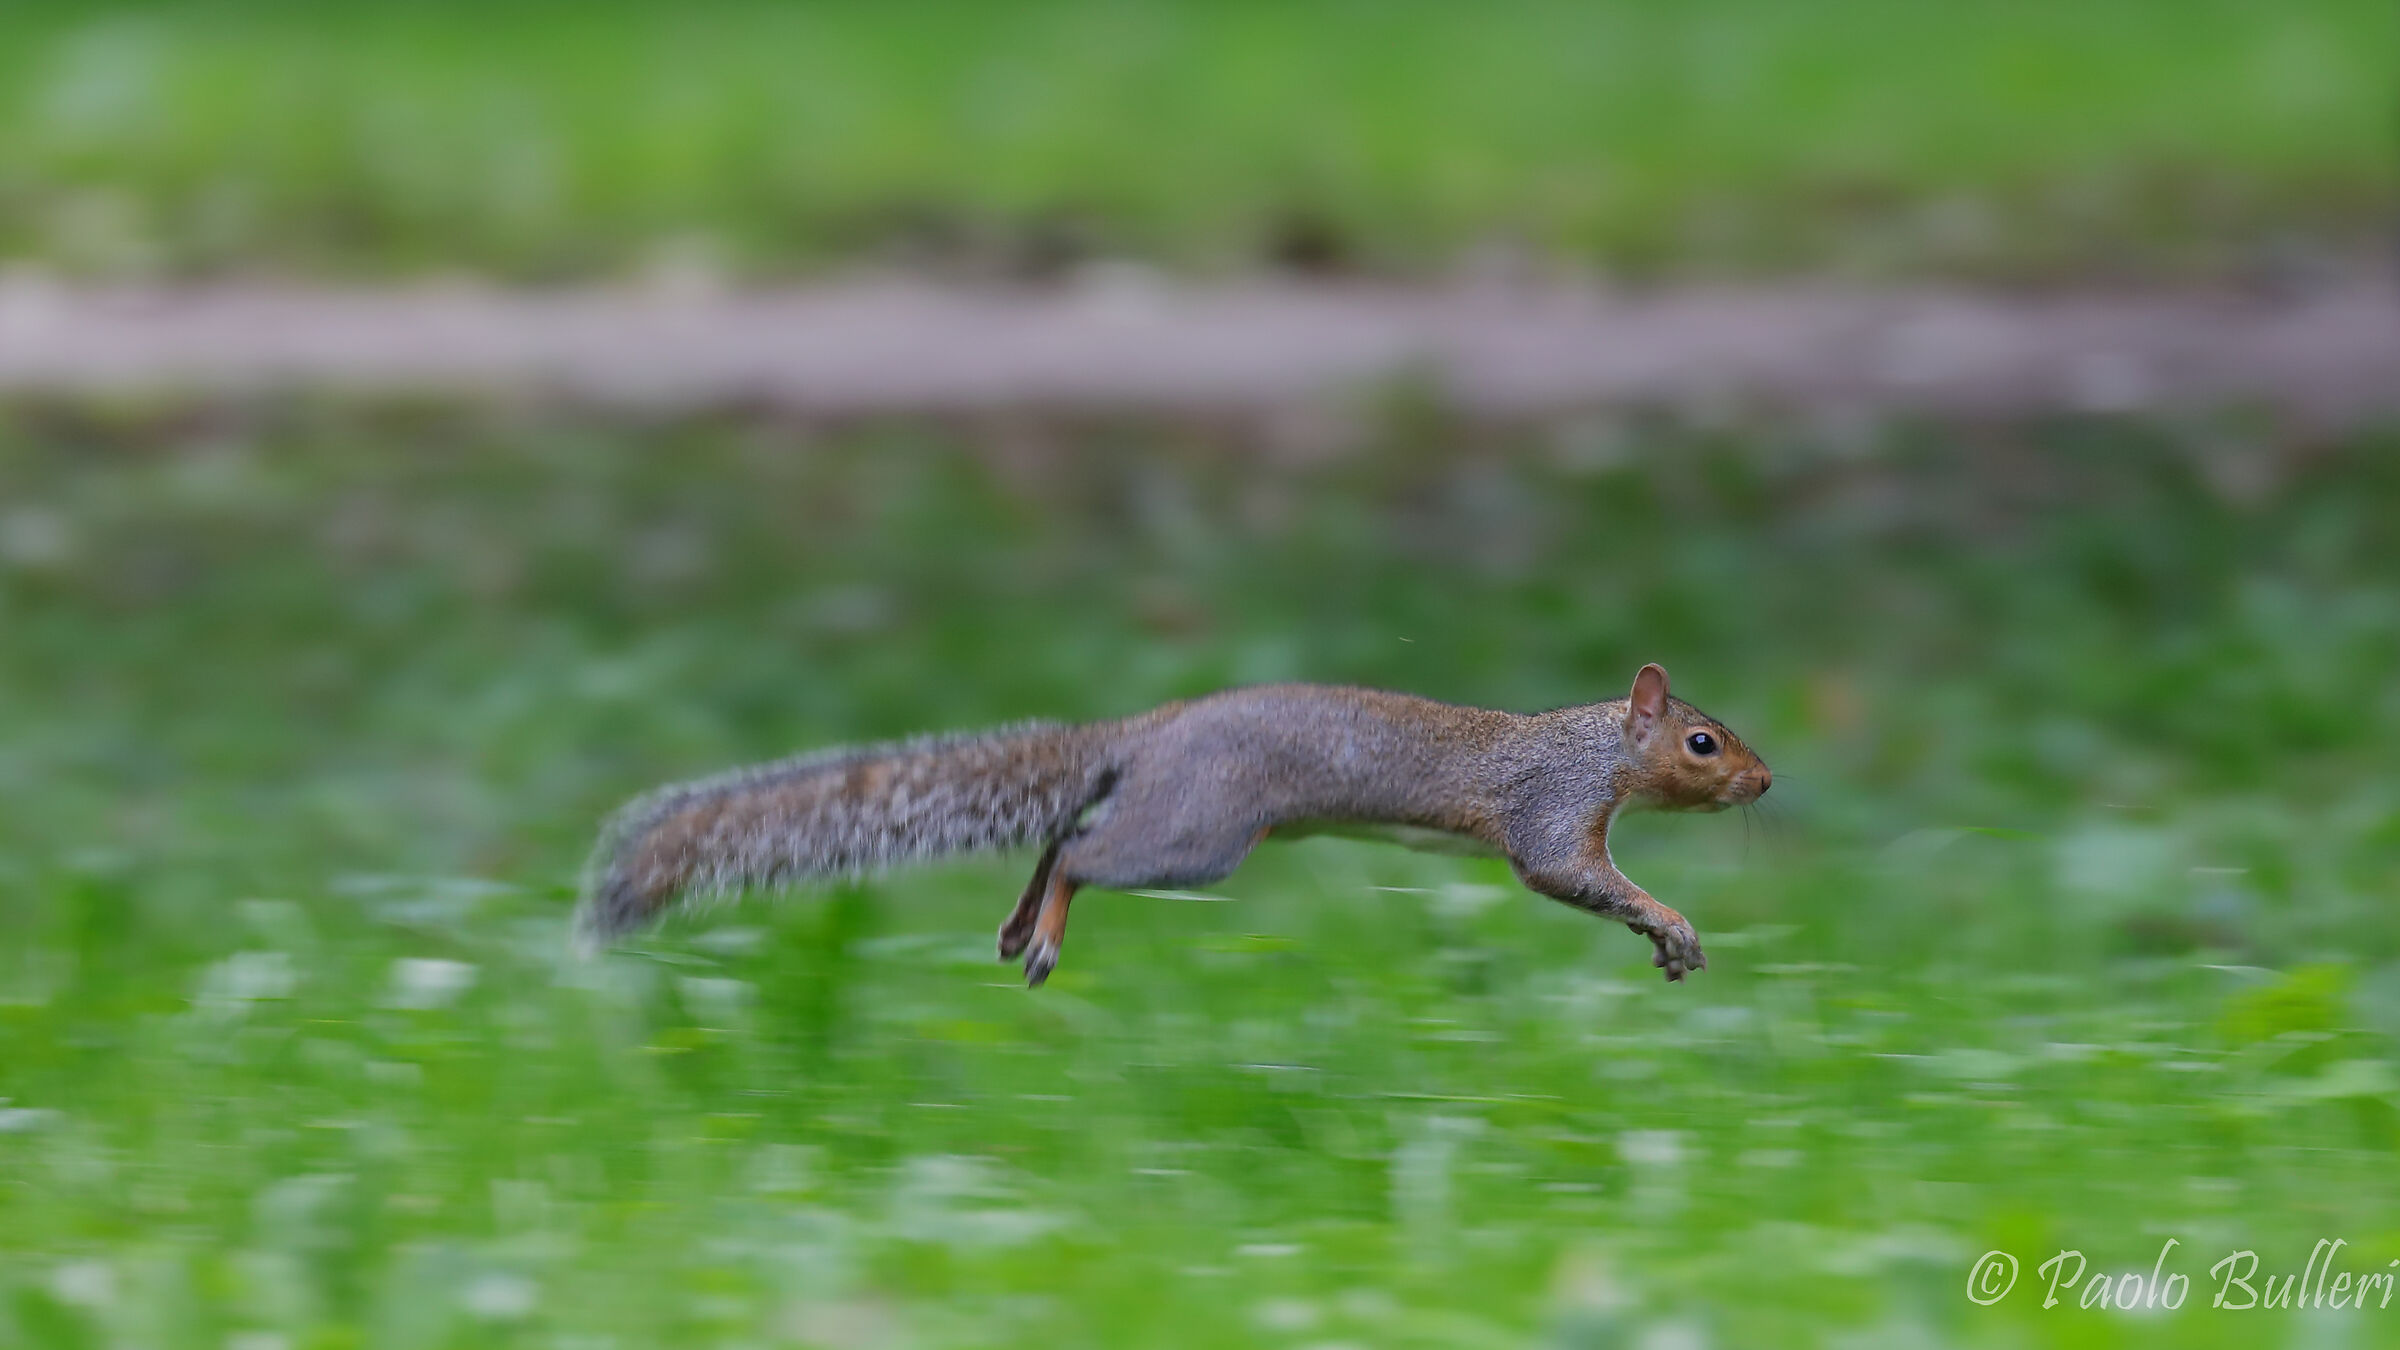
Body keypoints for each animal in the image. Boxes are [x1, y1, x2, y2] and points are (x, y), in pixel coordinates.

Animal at [576, 663, 1768, 986]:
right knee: (1082, 850)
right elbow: (1571, 875)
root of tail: (1152, 730)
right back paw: (1045, 933)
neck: (1596, 746)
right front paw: (1673, 921)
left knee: (1060, 836)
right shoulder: (1550, 813)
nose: (1765, 782)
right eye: (1703, 742)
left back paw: (1018, 924)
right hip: (1199, 835)